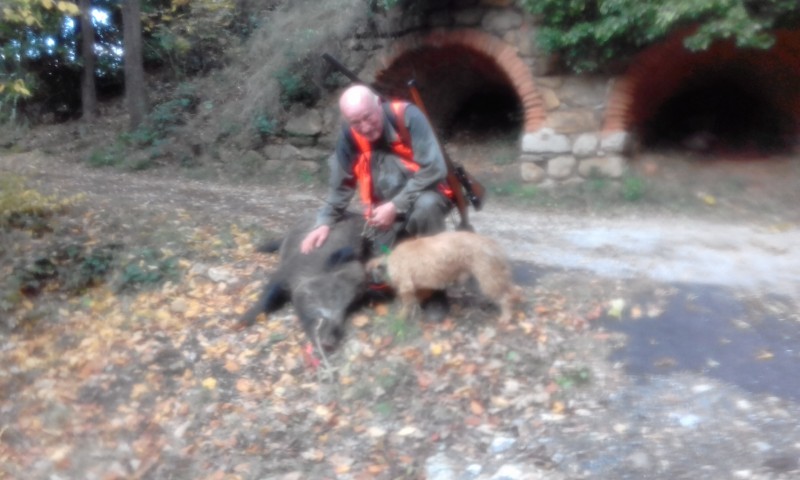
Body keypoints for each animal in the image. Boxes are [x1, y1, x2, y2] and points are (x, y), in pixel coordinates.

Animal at [366, 230, 520, 320]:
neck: (390, 260)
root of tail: (492, 244)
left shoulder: (406, 287)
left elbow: (407, 305)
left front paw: (401, 316)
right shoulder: (414, 288)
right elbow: (415, 301)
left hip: (488, 278)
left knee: (506, 297)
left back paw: (505, 317)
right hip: (494, 275)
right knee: (512, 291)